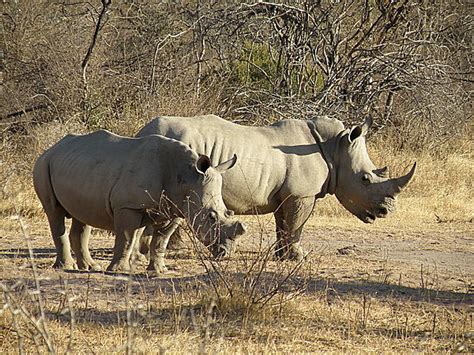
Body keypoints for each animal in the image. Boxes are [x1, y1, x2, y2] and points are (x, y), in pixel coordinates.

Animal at [33, 131, 244, 272]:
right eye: (211, 216)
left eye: (228, 212)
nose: (226, 253)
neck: (187, 176)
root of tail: (51, 148)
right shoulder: (128, 206)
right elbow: (127, 237)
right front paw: (119, 271)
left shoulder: (176, 209)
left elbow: (161, 240)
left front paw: (159, 272)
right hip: (43, 164)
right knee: (54, 212)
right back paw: (65, 267)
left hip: (77, 167)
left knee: (82, 216)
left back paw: (90, 267)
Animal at [136, 114, 414, 262]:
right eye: (365, 179)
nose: (386, 211)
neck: (336, 149)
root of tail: (142, 131)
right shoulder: (302, 194)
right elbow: (296, 225)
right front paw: (299, 257)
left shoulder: (287, 194)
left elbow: (284, 224)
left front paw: (282, 256)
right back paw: (169, 249)